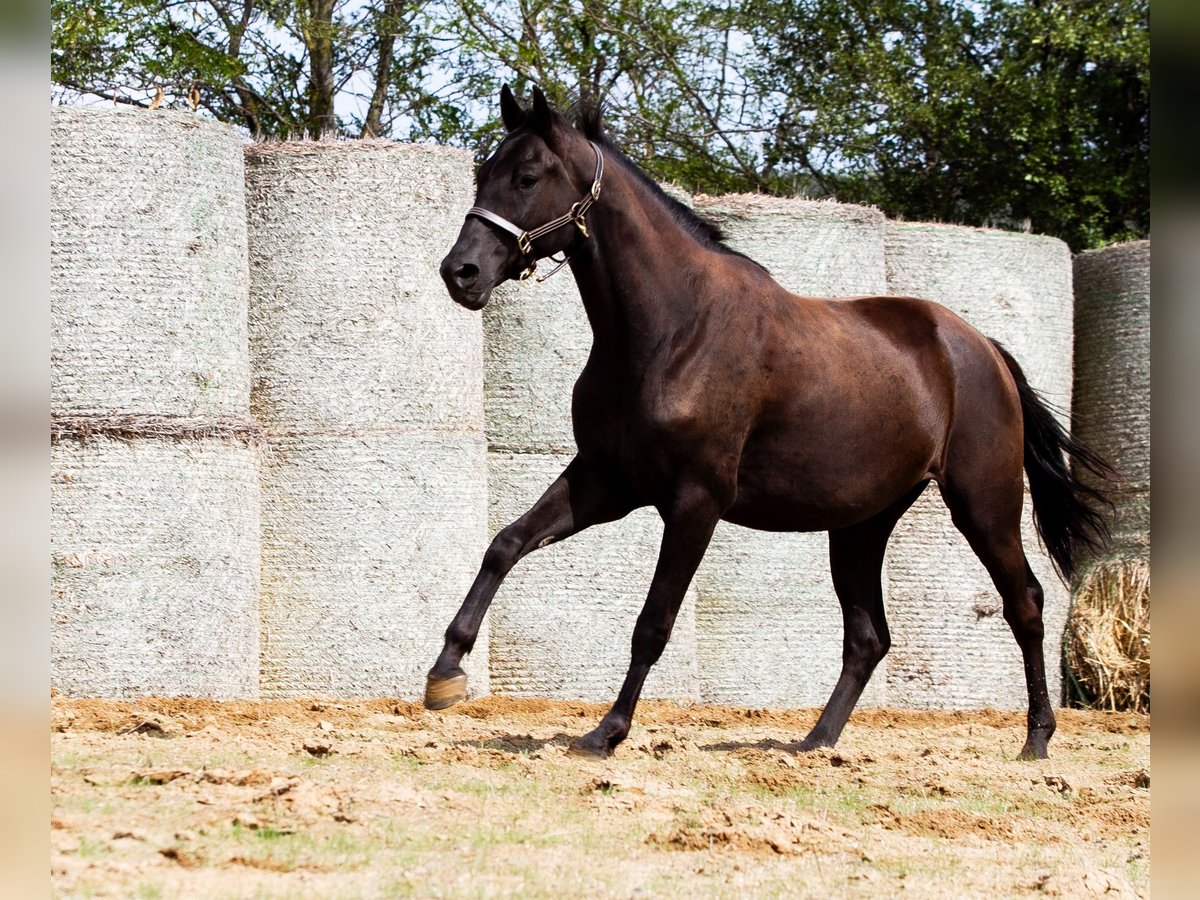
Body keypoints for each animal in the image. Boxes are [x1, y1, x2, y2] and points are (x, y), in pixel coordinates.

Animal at [424, 84, 1113, 763]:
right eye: (483, 173)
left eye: (527, 176)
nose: (461, 273)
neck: (671, 330)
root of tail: (981, 349)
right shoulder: (606, 482)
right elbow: (505, 543)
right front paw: (445, 674)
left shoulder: (694, 502)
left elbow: (653, 623)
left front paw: (607, 732)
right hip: (861, 525)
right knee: (868, 636)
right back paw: (816, 742)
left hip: (983, 504)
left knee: (1024, 604)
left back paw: (1036, 740)